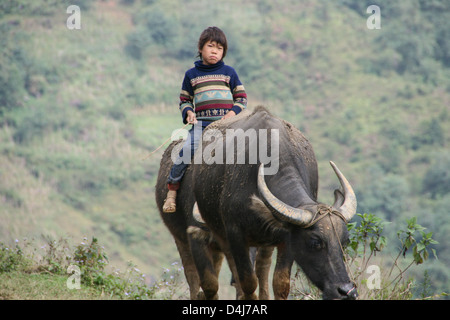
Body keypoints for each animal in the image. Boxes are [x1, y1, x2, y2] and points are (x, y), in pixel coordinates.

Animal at [192, 107, 356, 300]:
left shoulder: (288, 238)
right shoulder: (235, 234)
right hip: (220, 233)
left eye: (345, 241)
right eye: (315, 242)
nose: (346, 291)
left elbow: (281, 283)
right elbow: (248, 282)